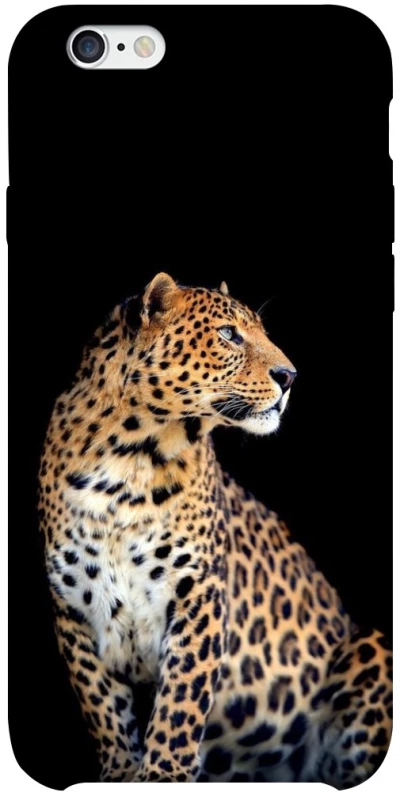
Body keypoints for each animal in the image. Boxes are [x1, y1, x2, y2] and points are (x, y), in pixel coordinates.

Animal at [39, 272, 392, 786]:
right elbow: (102, 706)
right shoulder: (73, 609)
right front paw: (122, 774)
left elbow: (180, 703)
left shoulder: (198, 592)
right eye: (229, 335)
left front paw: (162, 776)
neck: (129, 459)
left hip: (372, 646)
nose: (290, 377)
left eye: (262, 332)